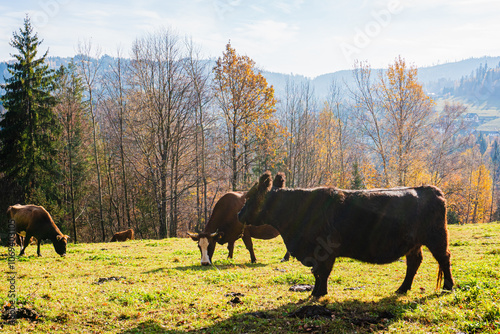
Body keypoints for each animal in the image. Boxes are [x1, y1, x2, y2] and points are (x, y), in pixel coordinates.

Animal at [240, 172, 456, 298]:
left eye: (250, 197)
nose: (239, 214)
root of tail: (430, 189)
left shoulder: (324, 251)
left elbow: (322, 272)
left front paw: (319, 294)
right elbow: (318, 273)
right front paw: (316, 292)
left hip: (437, 237)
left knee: (444, 259)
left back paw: (448, 286)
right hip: (414, 243)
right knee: (414, 262)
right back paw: (402, 288)